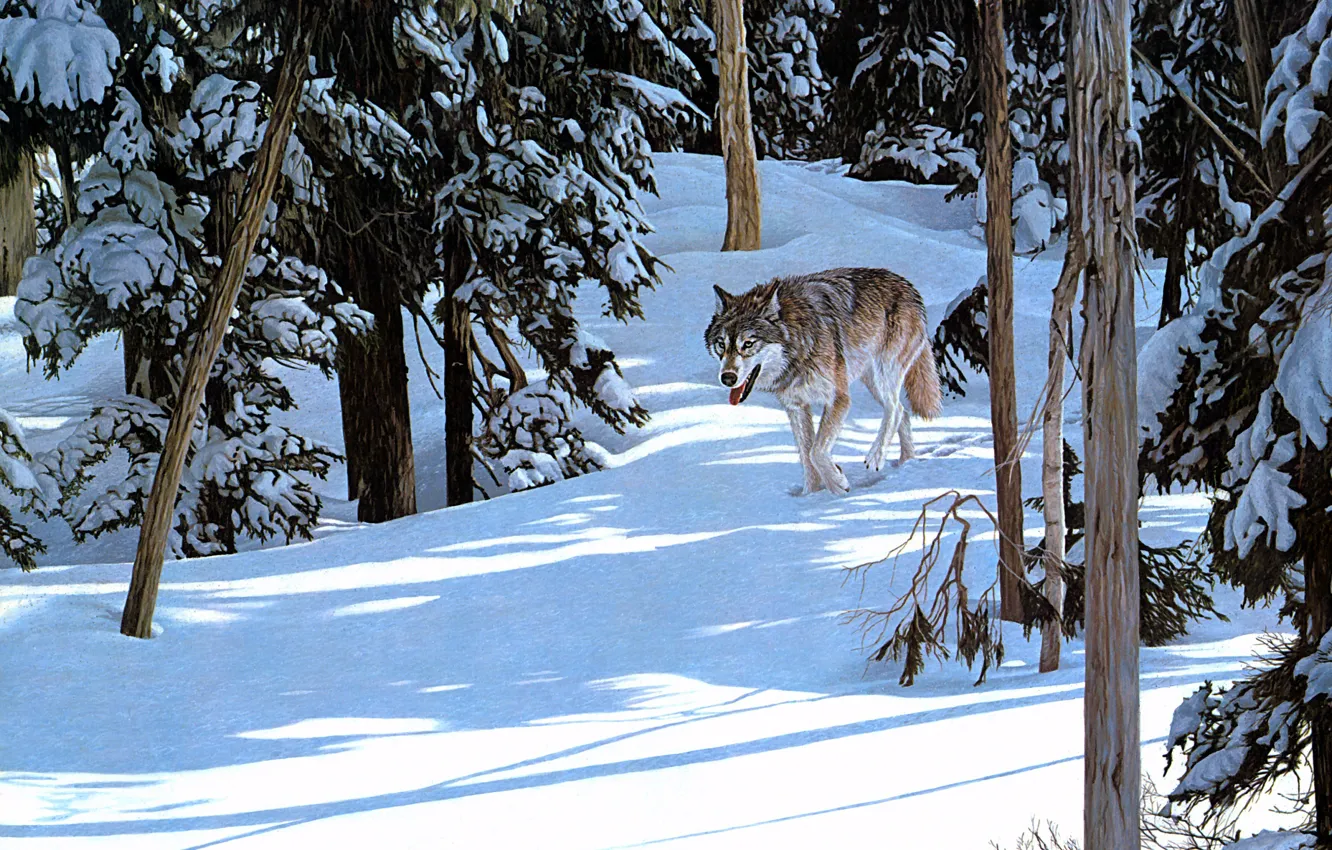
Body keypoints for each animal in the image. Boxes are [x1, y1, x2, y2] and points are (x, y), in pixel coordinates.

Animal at [704, 267, 943, 495]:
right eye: (721, 344)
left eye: (748, 344)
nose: (727, 378)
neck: (798, 345)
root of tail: (907, 286)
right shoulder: (796, 407)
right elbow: (806, 456)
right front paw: (811, 495)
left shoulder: (838, 398)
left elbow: (816, 451)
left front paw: (837, 484)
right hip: (872, 381)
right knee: (903, 411)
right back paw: (906, 462)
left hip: (883, 372)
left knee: (895, 409)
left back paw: (876, 457)